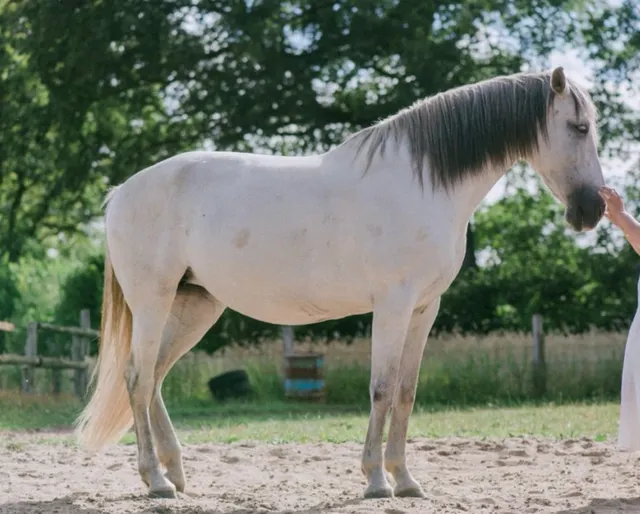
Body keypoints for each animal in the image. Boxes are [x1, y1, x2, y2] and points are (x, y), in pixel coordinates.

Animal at [75, 66, 605, 500]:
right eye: (579, 128)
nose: (593, 209)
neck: (423, 184)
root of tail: (121, 192)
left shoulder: (424, 308)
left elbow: (407, 391)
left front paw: (406, 480)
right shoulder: (392, 305)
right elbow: (382, 388)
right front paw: (376, 481)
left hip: (195, 306)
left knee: (155, 377)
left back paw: (175, 474)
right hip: (153, 301)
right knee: (138, 378)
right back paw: (157, 481)